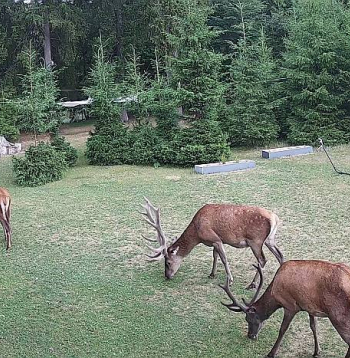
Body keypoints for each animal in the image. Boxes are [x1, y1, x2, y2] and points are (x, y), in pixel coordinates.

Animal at [141, 197, 284, 286]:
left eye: (168, 262)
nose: (167, 276)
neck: (197, 233)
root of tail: (275, 218)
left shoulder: (215, 239)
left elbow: (224, 258)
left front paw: (230, 280)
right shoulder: (216, 240)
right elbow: (215, 256)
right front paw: (212, 274)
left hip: (256, 241)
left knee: (262, 260)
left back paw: (252, 284)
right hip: (269, 240)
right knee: (280, 255)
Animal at [221, 260, 350, 358]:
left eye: (249, 319)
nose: (250, 336)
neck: (274, 294)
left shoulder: (290, 305)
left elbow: (282, 329)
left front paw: (271, 353)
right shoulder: (309, 306)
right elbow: (313, 326)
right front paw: (316, 352)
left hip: (338, 316)